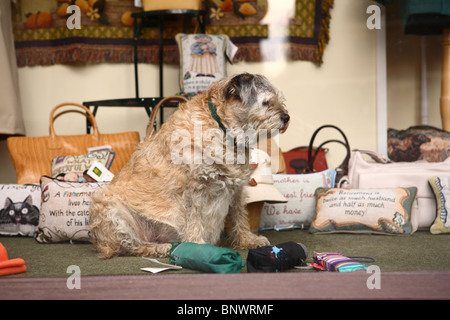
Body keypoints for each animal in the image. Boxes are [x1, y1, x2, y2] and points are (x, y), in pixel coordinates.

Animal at [89, 72, 290, 258]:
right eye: (266, 102)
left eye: (280, 99)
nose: (287, 117)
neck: (222, 128)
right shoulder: (194, 189)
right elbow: (194, 219)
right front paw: (197, 245)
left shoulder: (237, 189)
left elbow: (240, 216)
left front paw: (247, 239)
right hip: (109, 208)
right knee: (127, 246)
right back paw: (157, 248)